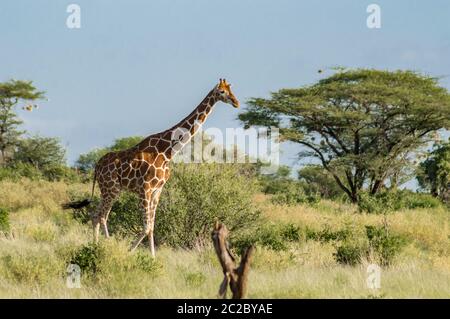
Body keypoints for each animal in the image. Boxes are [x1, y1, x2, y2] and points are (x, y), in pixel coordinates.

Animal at [63, 79, 241, 258]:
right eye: (222, 92)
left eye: (231, 89)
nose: (236, 102)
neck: (168, 151)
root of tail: (96, 166)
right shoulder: (145, 189)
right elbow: (147, 226)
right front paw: (130, 252)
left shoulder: (157, 190)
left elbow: (152, 227)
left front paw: (152, 257)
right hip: (111, 188)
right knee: (102, 216)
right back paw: (106, 246)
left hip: (109, 189)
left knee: (95, 215)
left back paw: (95, 246)